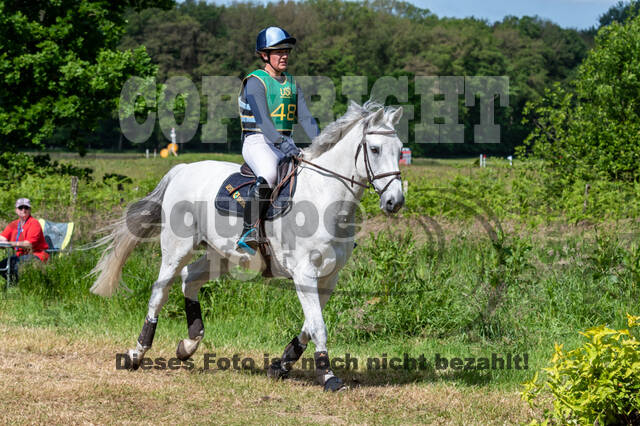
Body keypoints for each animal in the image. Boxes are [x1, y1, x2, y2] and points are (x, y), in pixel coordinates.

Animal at [90, 101, 404, 391]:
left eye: (400, 149)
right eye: (374, 149)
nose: (395, 201)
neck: (325, 196)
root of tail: (183, 169)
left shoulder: (329, 276)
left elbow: (309, 325)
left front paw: (281, 365)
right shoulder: (305, 273)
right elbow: (318, 326)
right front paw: (328, 377)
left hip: (223, 257)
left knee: (189, 278)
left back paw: (188, 344)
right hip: (177, 248)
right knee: (160, 292)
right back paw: (136, 354)